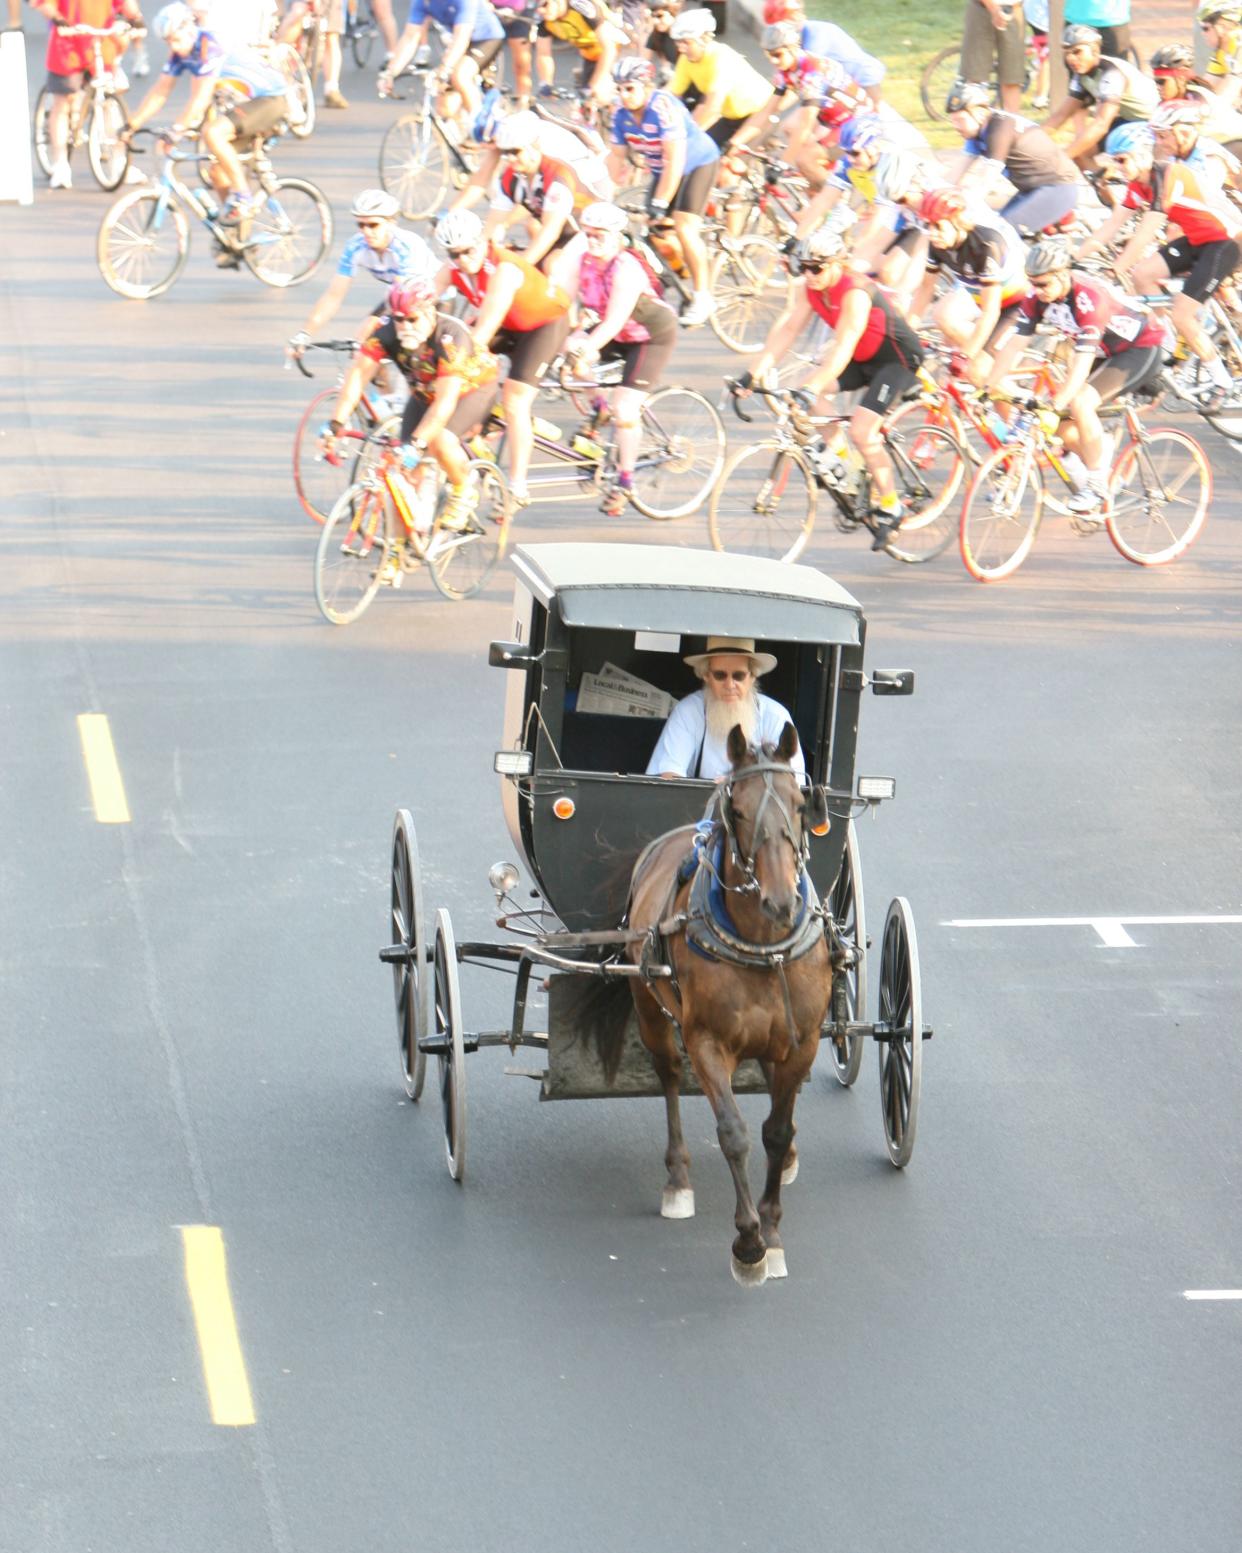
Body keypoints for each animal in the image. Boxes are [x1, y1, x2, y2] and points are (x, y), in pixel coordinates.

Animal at [577, 720, 832, 1279]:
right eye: (737, 810)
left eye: (799, 803)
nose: (780, 901)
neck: (764, 946)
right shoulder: (707, 1041)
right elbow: (734, 1132)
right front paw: (749, 1242)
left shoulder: (801, 1043)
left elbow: (776, 1131)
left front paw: (772, 1228)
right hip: (650, 1006)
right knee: (669, 1075)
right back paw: (678, 1179)